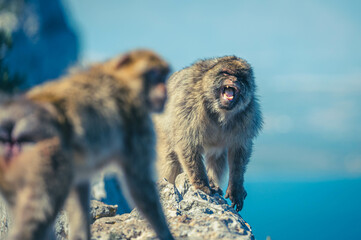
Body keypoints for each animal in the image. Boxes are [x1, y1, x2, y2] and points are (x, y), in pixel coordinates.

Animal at [0, 49, 173, 239]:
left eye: (164, 77)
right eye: (155, 75)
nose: (165, 91)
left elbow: (80, 186)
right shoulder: (137, 121)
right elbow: (139, 184)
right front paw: (166, 234)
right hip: (43, 152)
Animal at [154, 56, 262, 212]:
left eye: (240, 77)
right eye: (226, 73)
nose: (234, 80)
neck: (220, 110)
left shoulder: (248, 115)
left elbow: (239, 150)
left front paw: (236, 188)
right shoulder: (189, 106)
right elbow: (187, 144)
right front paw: (201, 185)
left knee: (217, 155)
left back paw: (213, 183)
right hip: (162, 128)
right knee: (171, 160)